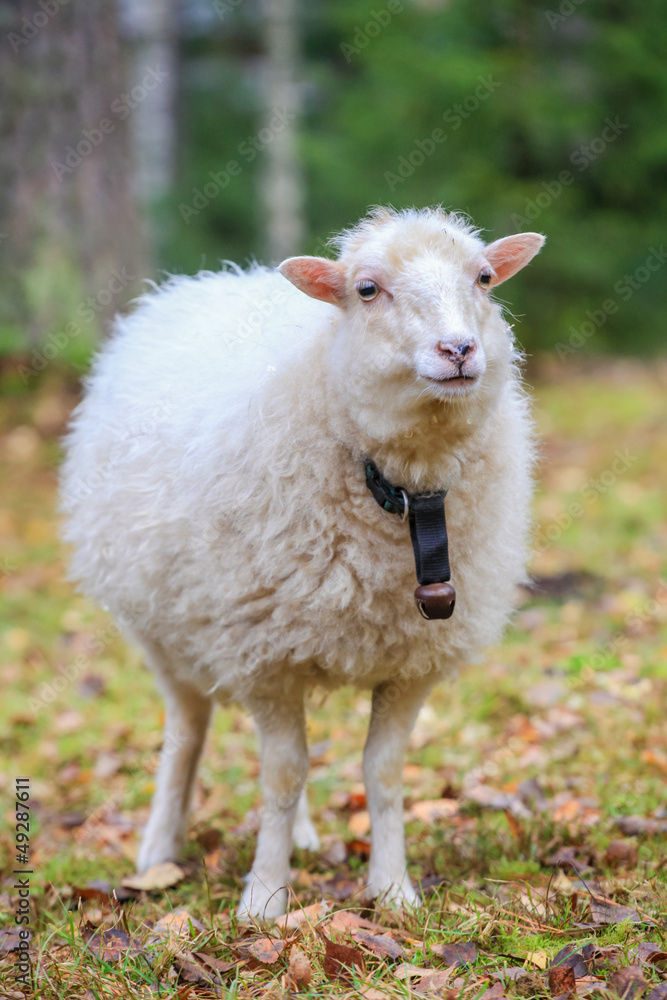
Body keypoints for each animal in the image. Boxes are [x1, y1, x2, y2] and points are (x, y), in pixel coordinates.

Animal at [60, 206, 544, 920]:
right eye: (367, 289)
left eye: (484, 278)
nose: (458, 350)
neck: (405, 489)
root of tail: (206, 281)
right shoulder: (263, 654)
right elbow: (282, 774)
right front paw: (265, 898)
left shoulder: (412, 660)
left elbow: (382, 773)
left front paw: (392, 890)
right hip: (163, 630)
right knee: (187, 731)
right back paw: (159, 850)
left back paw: (307, 836)